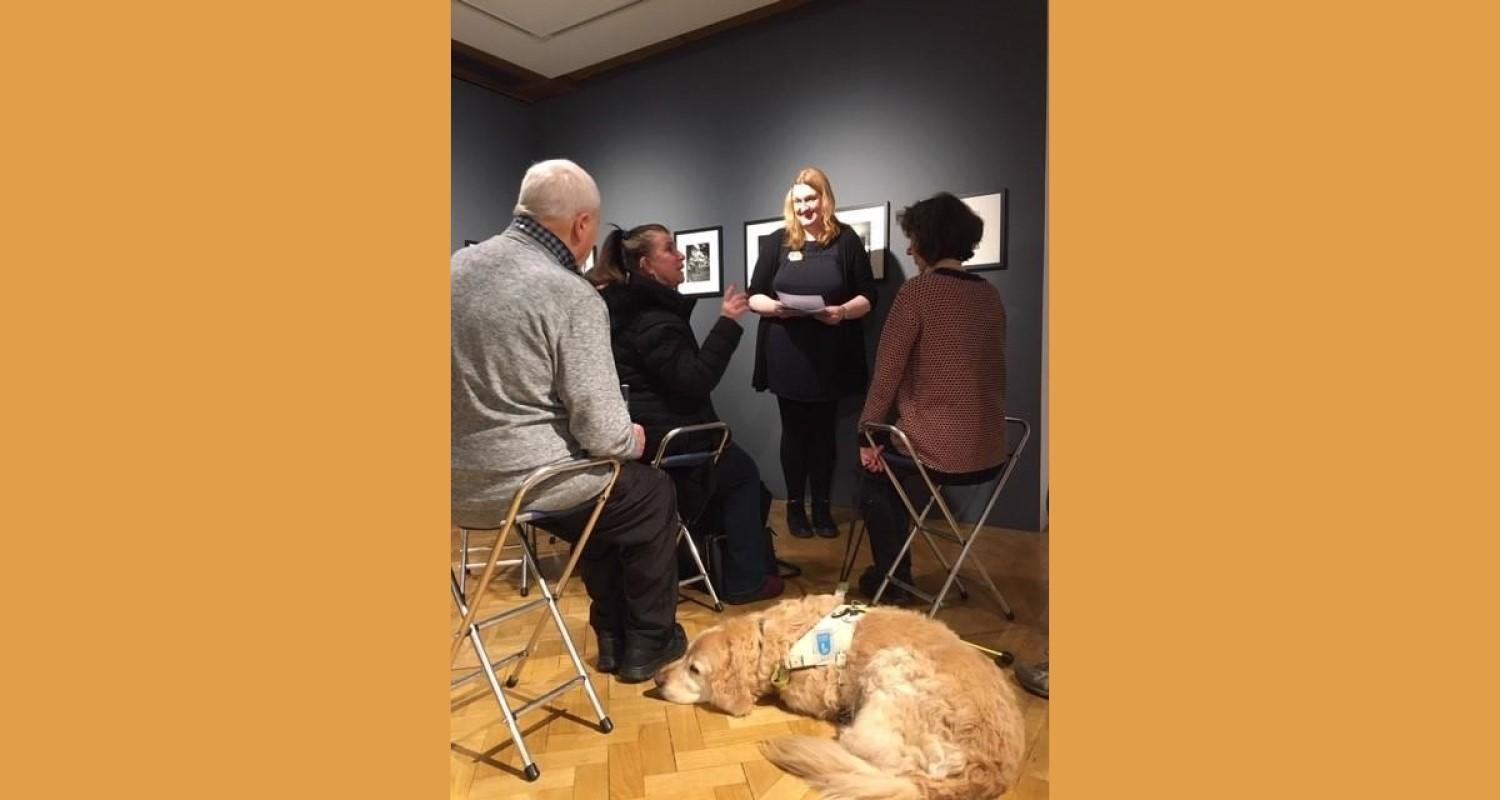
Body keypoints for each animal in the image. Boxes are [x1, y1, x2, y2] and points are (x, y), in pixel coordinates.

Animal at [651, 591, 1026, 798]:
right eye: (684, 655)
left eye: (694, 669)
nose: (656, 679)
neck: (774, 639)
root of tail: (987, 772)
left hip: (891, 664)